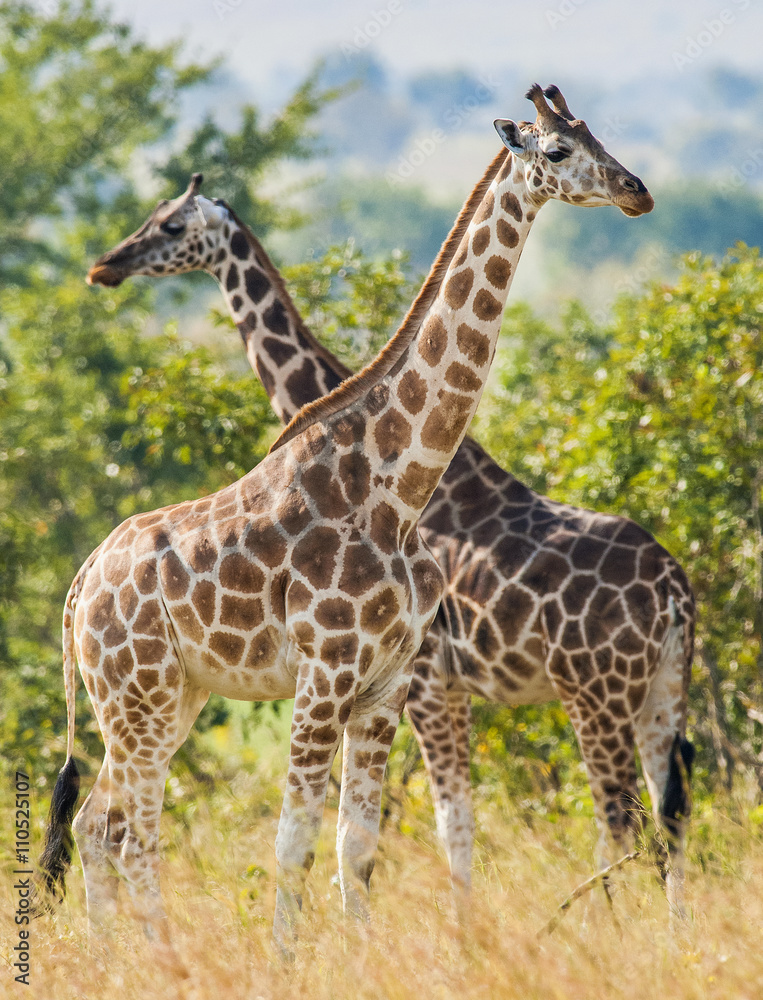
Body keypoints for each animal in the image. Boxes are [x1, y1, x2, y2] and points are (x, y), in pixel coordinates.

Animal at [86, 85, 694, 920]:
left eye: (170, 225)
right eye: (559, 149)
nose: (105, 265)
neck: (395, 481)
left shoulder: (407, 679)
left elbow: (386, 838)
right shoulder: (384, 680)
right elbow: (365, 837)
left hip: (611, 691)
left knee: (633, 821)